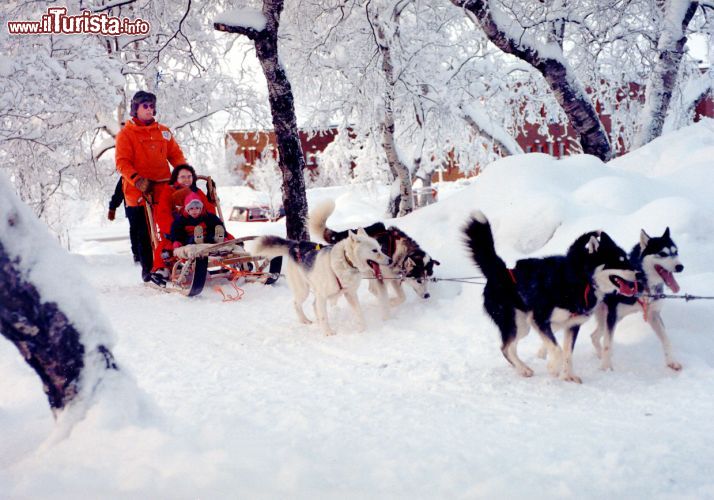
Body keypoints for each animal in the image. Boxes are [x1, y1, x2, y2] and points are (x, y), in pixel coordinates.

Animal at [253, 230, 390, 336]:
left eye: (380, 248)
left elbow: (359, 312)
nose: (390, 260)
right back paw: (304, 320)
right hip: (304, 291)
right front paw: (328, 333)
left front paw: (363, 329)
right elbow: (325, 317)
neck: (345, 261)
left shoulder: (350, 294)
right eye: (374, 250)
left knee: (314, 305)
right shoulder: (322, 296)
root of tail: (295, 245)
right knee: (297, 304)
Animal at [308, 199, 440, 308]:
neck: (398, 251)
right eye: (419, 280)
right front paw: (390, 303)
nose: (427, 295)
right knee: (371, 289)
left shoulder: (392, 276)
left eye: (428, 279)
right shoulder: (383, 275)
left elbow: (399, 294)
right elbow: (399, 297)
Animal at [464, 211, 636, 382]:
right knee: (506, 348)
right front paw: (553, 368)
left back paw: (520, 367)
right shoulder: (539, 319)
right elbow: (558, 350)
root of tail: (501, 271)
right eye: (618, 262)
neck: (581, 279)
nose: (638, 273)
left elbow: (568, 353)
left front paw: (568, 375)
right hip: (518, 323)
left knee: (509, 347)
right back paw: (523, 369)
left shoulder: (572, 324)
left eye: (627, 260)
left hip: (524, 325)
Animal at [588, 228, 684, 372]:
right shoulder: (613, 315)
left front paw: (672, 361)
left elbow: (666, 339)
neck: (640, 282)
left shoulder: (653, 315)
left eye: (676, 252)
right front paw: (606, 368)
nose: (680, 267)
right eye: (662, 253)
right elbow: (608, 343)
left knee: (594, 336)